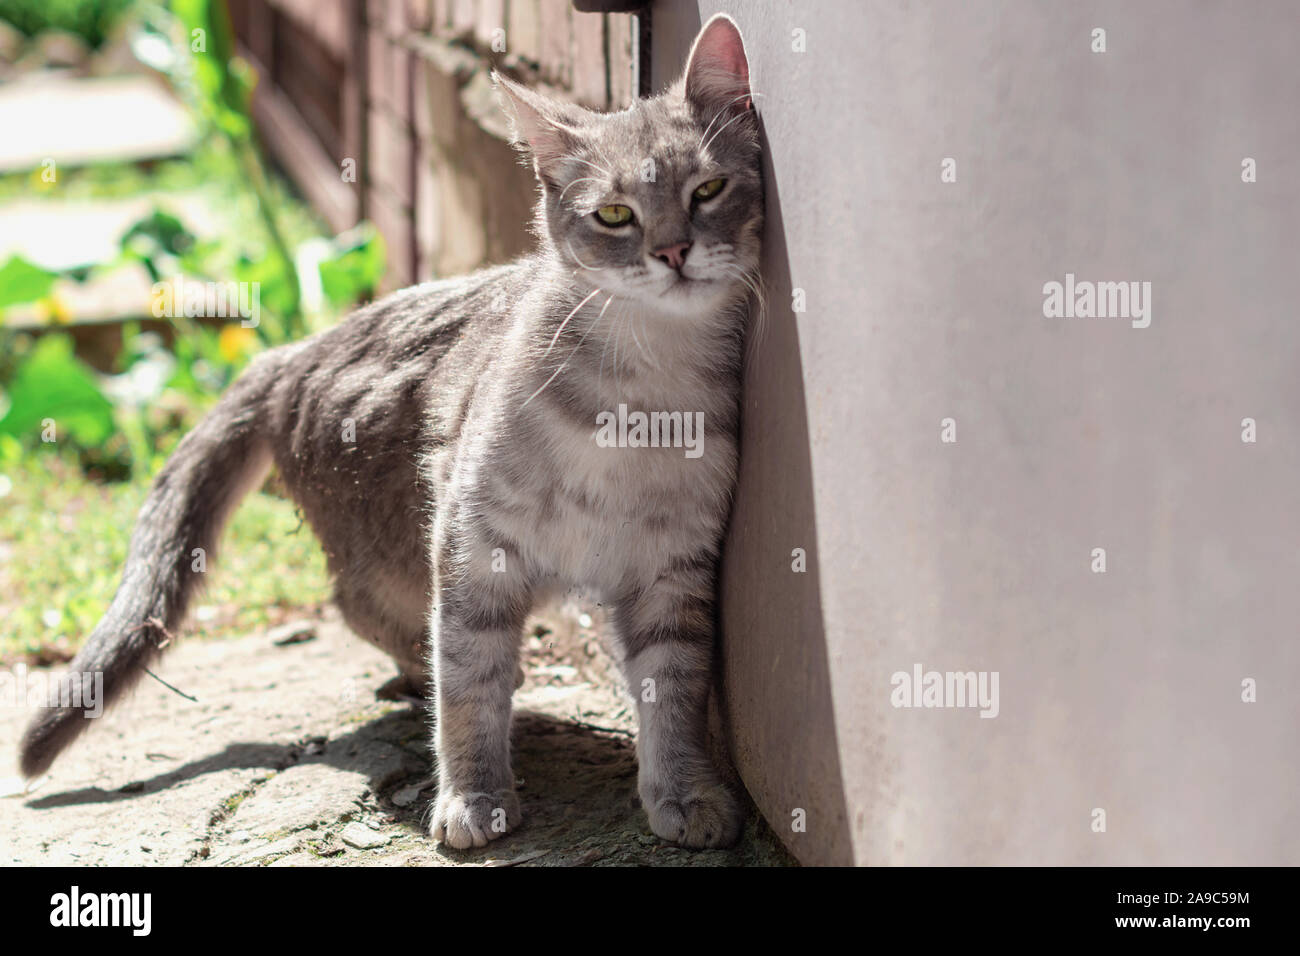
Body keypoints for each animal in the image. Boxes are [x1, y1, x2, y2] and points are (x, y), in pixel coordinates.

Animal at [20, 13, 759, 853]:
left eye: (708, 189)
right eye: (613, 214)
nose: (672, 251)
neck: (636, 397)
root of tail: (292, 350)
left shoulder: (673, 572)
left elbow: (672, 693)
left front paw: (683, 793)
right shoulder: (471, 549)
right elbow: (468, 684)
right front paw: (473, 795)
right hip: (393, 550)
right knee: (360, 606)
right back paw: (422, 669)